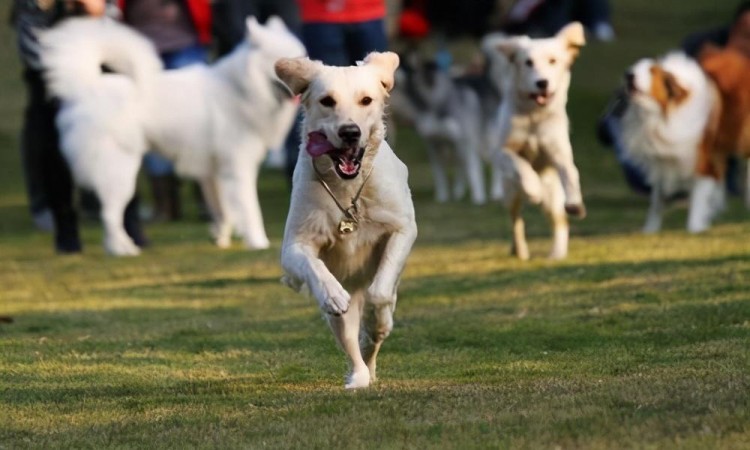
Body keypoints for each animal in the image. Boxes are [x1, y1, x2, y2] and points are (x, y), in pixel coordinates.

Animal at [39, 15, 306, 255]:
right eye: (281, 62)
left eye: (302, 57)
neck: (240, 88)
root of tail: (87, 88)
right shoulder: (238, 169)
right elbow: (250, 210)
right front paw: (258, 242)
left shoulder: (214, 173)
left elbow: (223, 212)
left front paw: (221, 239)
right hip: (120, 171)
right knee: (109, 215)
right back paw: (121, 250)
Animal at [276, 51, 420, 390]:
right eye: (327, 101)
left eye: (366, 100)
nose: (350, 132)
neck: (349, 190)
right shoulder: (294, 245)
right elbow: (314, 267)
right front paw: (332, 293)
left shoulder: (403, 228)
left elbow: (379, 294)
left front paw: (375, 322)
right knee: (349, 337)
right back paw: (358, 376)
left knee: (376, 321)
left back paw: (373, 338)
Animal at [490, 22, 592, 258]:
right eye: (528, 62)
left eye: (553, 61)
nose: (542, 83)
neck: (534, 116)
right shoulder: (502, 151)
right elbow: (519, 164)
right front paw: (533, 187)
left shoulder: (559, 153)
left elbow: (571, 173)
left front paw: (576, 203)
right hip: (510, 195)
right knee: (516, 221)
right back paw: (520, 250)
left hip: (553, 198)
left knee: (560, 221)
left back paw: (557, 253)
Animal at [624, 53, 724, 232]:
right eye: (634, 67)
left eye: (652, 71)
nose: (628, 75)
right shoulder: (662, 164)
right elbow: (656, 203)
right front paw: (649, 231)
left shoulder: (703, 162)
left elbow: (699, 199)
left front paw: (695, 228)